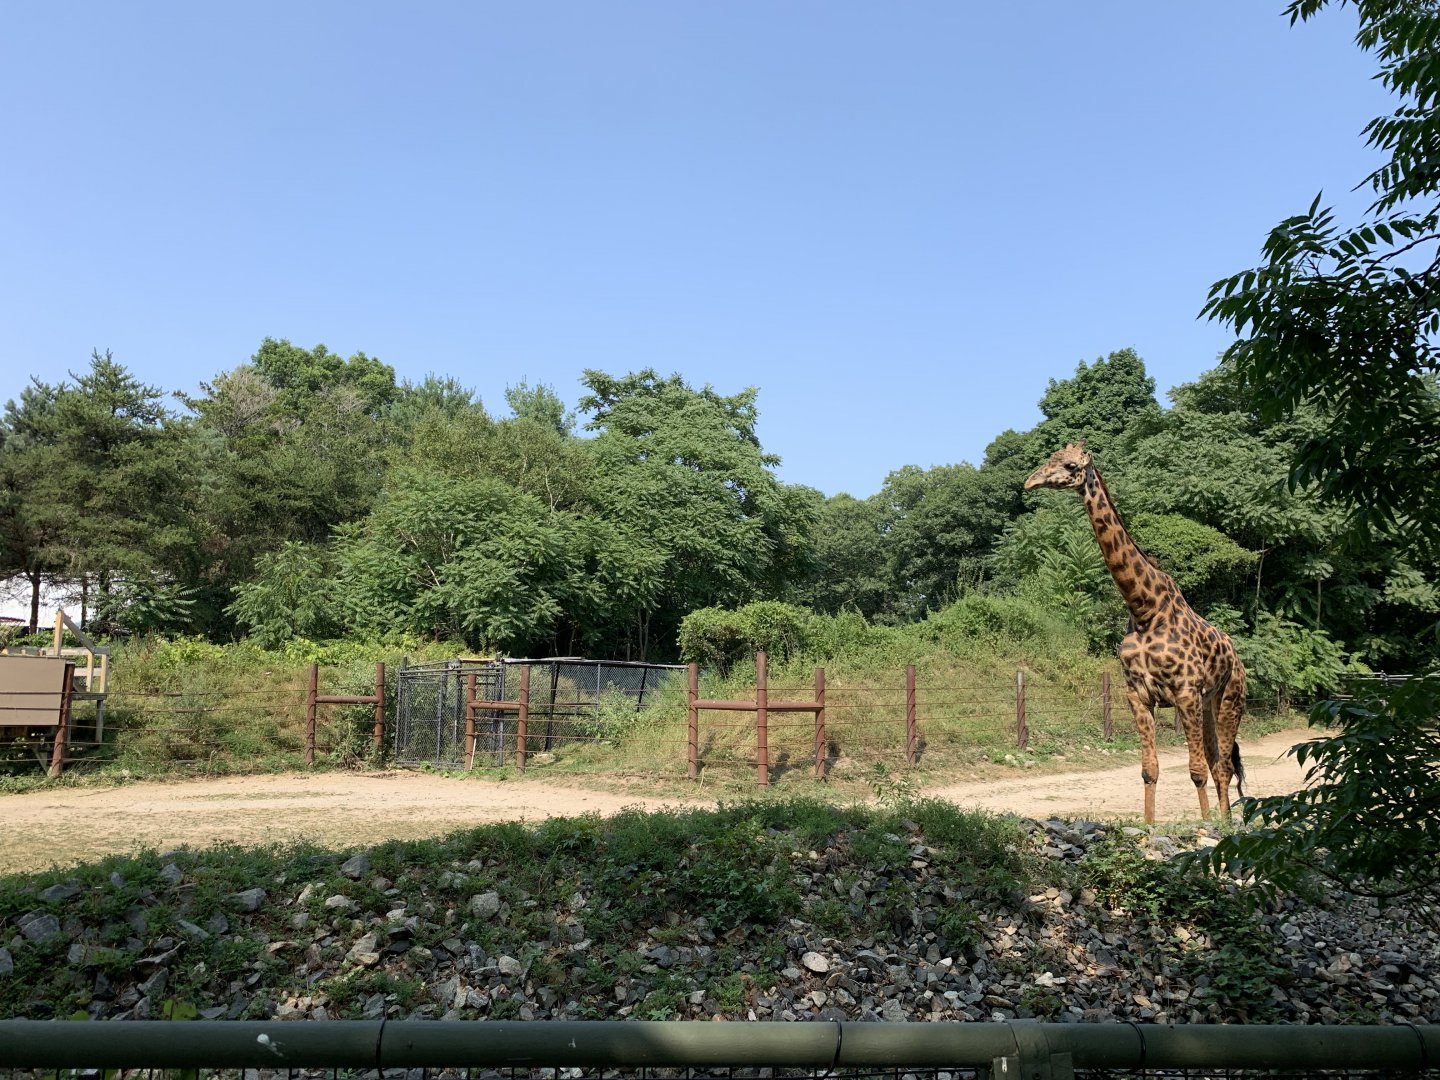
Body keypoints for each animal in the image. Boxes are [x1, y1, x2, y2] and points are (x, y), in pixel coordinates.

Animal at [1023, 443, 1246, 823]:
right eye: (1049, 459)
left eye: (1070, 466)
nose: (1029, 482)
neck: (1145, 610)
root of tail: (1238, 659)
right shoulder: (1138, 695)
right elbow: (1149, 770)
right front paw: (1149, 825)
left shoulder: (1185, 693)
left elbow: (1196, 771)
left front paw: (1204, 826)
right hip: (1210, 702)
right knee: (1219, 762)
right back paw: (1226, 818)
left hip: (1231, 699)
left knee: (1223, 767)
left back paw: (1226, 824)